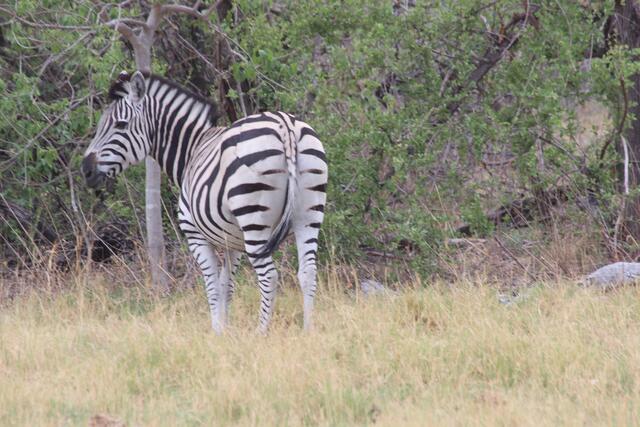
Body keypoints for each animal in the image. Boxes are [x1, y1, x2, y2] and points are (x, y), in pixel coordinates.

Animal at [82, 71, 328, 333]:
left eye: (120, 125)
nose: (85, 170)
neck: (192, 150)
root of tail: (285, 126)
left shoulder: (194, 234)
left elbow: (212, 285)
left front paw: (217, 330)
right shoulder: (232, 241)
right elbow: (226, 284)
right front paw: (225, 329)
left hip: (254, 218)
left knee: (269, 276)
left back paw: (261, 332)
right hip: (309, 213)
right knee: (308, 272)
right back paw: (308, 330)